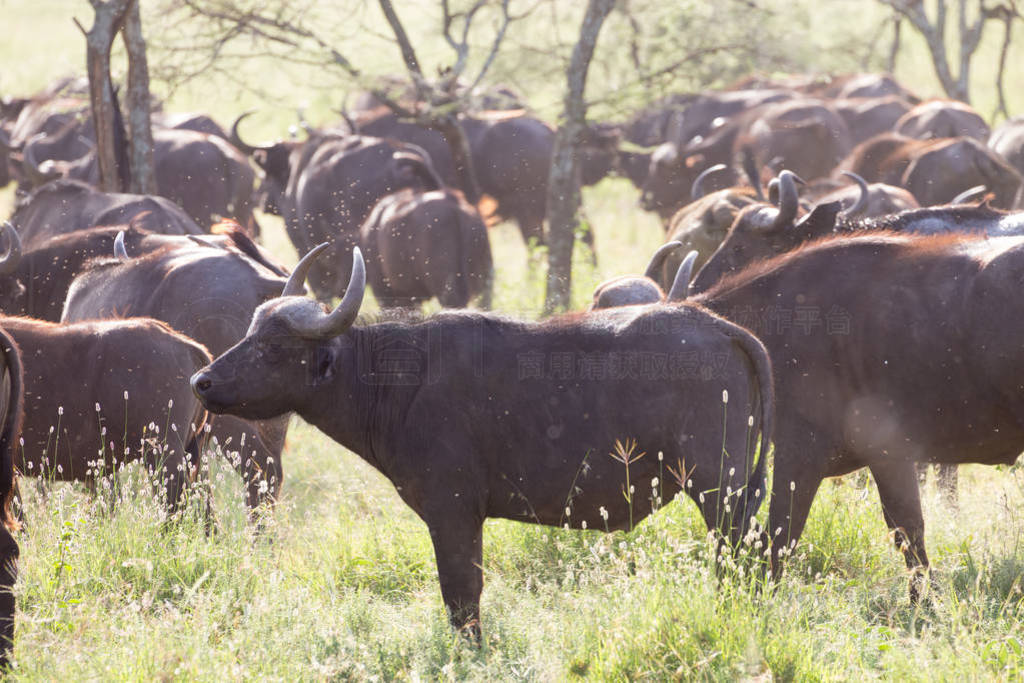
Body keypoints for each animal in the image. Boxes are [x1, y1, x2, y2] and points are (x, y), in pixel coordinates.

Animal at [192, 246, 770, 643]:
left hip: (720, 493)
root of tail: (721, 328)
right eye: (249, 332)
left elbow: (460, 596)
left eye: (272, 347)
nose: (202, 380)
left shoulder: (452, 513)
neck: (402, 382)